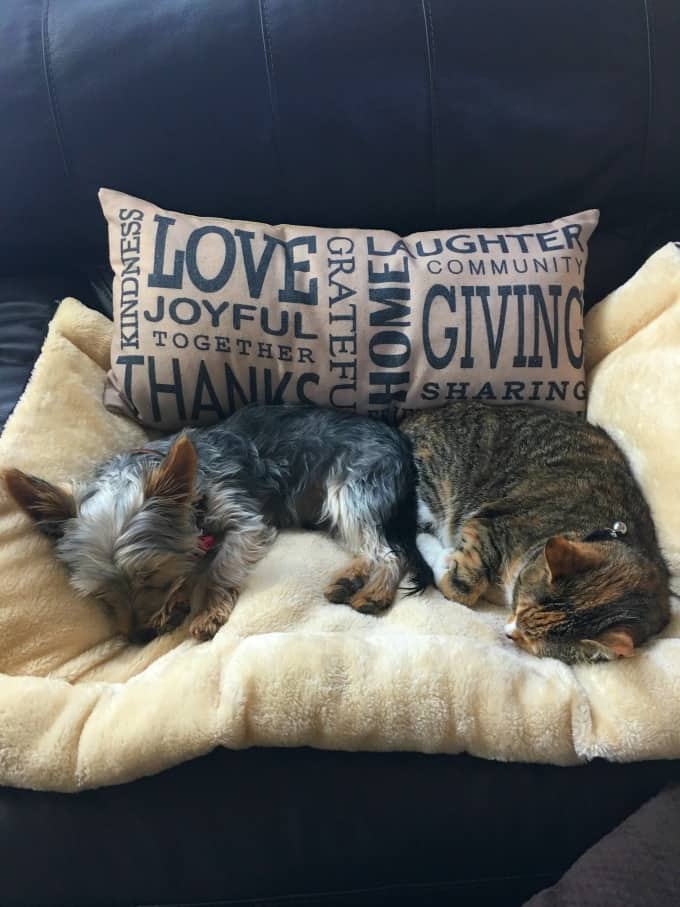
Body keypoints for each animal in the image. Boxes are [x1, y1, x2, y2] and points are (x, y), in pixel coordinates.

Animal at [398, 400, 668, 664]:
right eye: (519, 595)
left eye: (532, 643)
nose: (508, 632)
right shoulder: (492, 522)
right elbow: (461, 588)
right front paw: (443, 559)